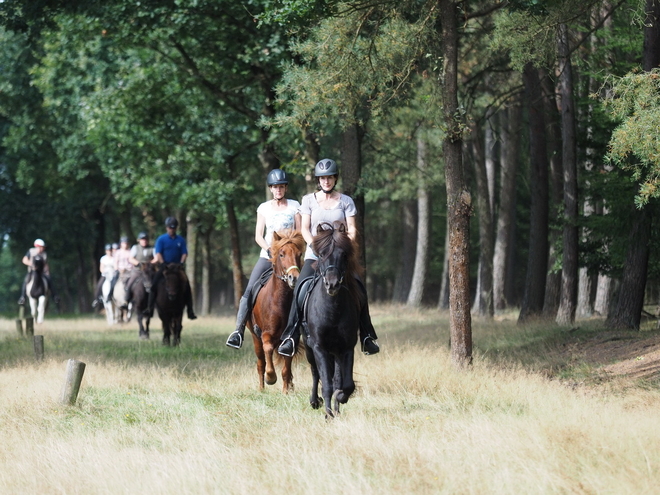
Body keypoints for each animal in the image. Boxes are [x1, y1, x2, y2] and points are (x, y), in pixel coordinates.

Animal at [249, 231, 306, 394]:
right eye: (281, 254)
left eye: (299, 254)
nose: (294, 278)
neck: (280, 302)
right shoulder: (266, 334)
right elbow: (268, 349)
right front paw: (270, 377)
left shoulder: (290, 338)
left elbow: (286, 369)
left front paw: (286, 391)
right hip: (255, 338)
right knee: (261, 363)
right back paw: (261, 388)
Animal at [304, 223, 360, 420]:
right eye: (321, 254)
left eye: (343, 255)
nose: (332, 284)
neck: (332, 310)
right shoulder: (319, 347)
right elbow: (326, 383)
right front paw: (328, 414)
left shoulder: (347, 347)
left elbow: (345, 384)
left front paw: (340, 399)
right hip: (309, 348)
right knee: (315, 373)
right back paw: (315, 401)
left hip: (335, 351)